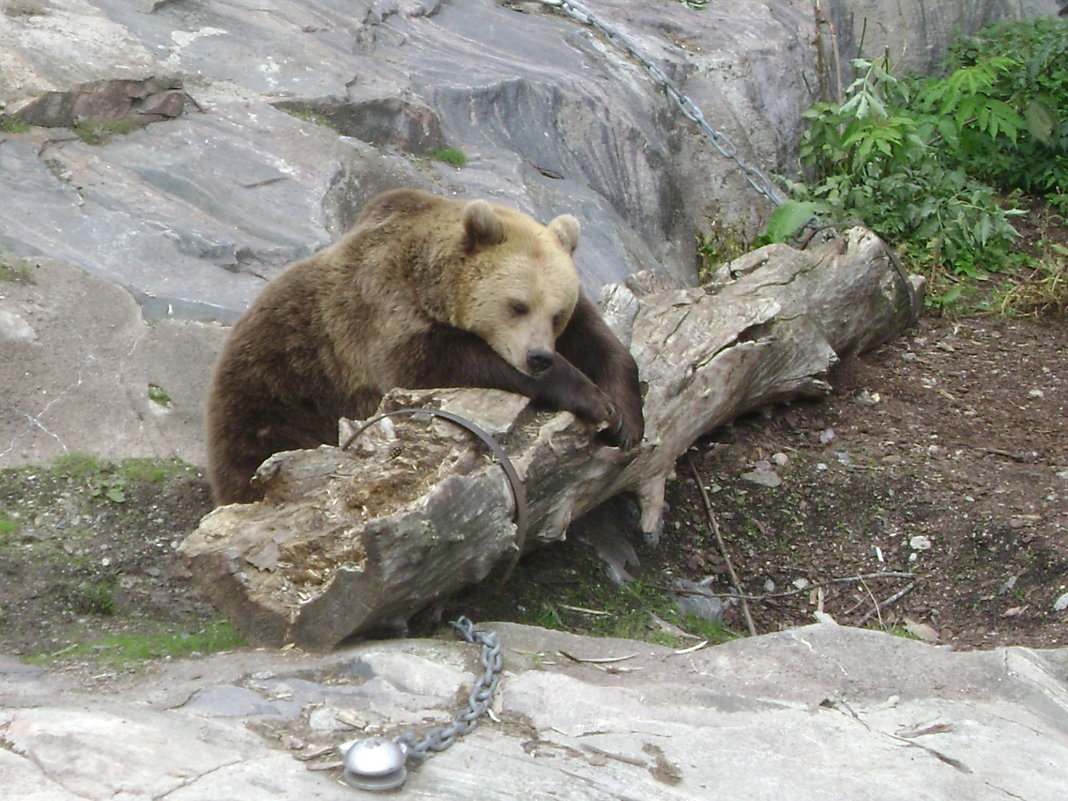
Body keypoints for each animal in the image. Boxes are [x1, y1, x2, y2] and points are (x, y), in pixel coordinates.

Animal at [207, 187, 640, 501]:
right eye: (517, 305)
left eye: (556, 313)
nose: (538, 357)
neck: (430, 283)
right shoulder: (380, 315)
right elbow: (441, 360)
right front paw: (593, 399)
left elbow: (599, 339)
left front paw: (626, 420)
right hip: (280, 393)